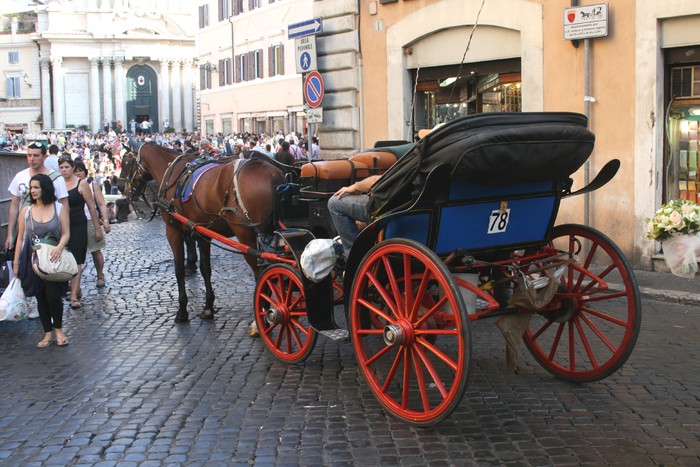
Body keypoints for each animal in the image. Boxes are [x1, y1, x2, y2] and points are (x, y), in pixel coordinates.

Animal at [119, 144, 286, 326]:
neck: (173, 174)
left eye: (126, 163)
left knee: (261, 272)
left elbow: (179, 270)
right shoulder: (201, 233)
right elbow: (205, 268)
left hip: (247, 236)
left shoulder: (173, 231)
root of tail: (273, 174)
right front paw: (208, 306)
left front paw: (182, 310)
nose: (122, 188)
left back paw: (261, 318)